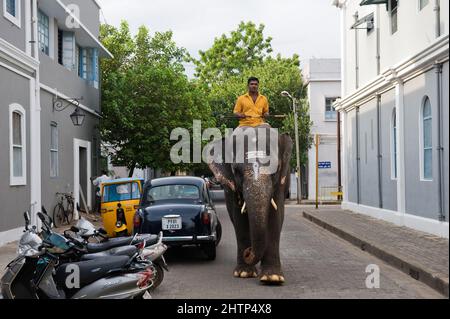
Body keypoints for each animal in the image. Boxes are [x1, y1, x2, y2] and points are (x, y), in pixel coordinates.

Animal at [207, 126, 294, 286]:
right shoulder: (232, 188)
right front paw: (244, 273)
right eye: (236, 171)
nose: (248, 252)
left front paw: (273, 278)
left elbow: (275, 217)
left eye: (275, 169)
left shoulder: (281, 184)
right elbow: (239, 218)